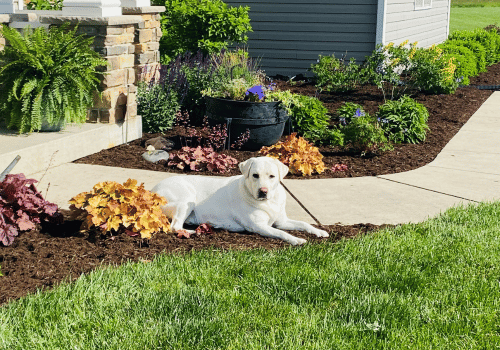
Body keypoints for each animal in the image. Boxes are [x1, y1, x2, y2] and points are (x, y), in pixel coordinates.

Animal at [151, 157, 328, 245]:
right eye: (255, 175)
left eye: (272, 176)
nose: (263, 191)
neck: (268, 202)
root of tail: (152, 191)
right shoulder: (259, 226)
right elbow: (281, 233)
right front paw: (296, 240)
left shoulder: (281, 221)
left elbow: (303, 224)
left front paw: (319, 231)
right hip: (186, 200)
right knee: (175, 226)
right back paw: (193, 231)